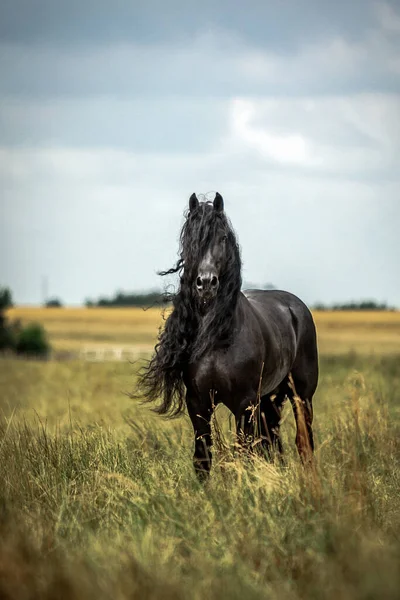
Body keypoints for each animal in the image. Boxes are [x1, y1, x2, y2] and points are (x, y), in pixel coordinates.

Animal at [138, 195, 318, 480]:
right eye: (190, 238)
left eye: (222, 237)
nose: (206, 283)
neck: (218, 337)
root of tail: (294, 307)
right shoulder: (198, 403)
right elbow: (203, 458)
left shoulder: (243, 404)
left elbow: (243, 454)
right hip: (269, 399)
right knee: (272, 441)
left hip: (301, 395)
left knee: (303, 443)